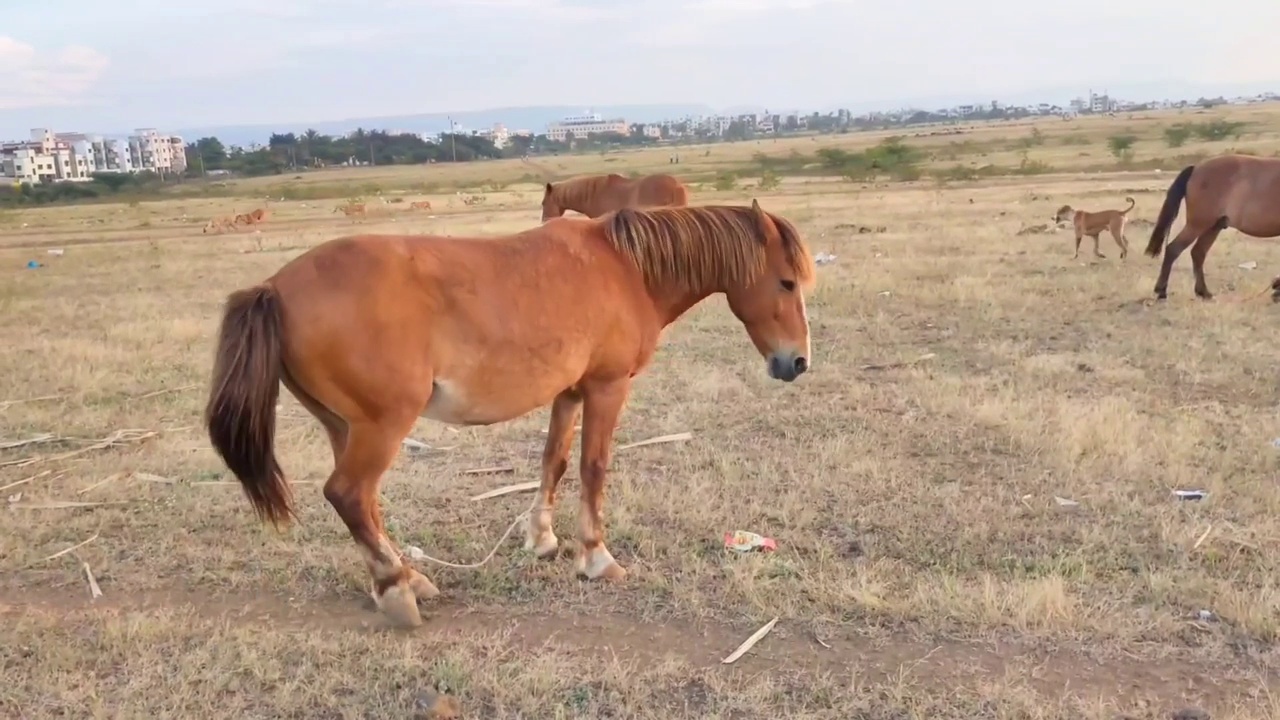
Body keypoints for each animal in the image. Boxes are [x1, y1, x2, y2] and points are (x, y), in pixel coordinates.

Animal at [204, 198, 814, 625]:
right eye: (785, 282)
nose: (798, 362)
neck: (625, 269)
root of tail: (274, 288)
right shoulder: (606, 388)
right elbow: (593, 468)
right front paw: (595, 557)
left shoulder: (570, 391)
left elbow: (554, 462)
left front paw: (542, 539)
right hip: (382, 426)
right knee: (348, 495)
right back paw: (398, 591)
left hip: (346, 426)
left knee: (365, 504)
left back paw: (407, 577)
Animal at [1146, 152, 1280, 298]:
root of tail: (1196, 168)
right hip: (1198, 225)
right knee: (1173, 249)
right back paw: (1161, 291)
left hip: (1213, 227)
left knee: (1198, 253)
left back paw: (1203, 292)